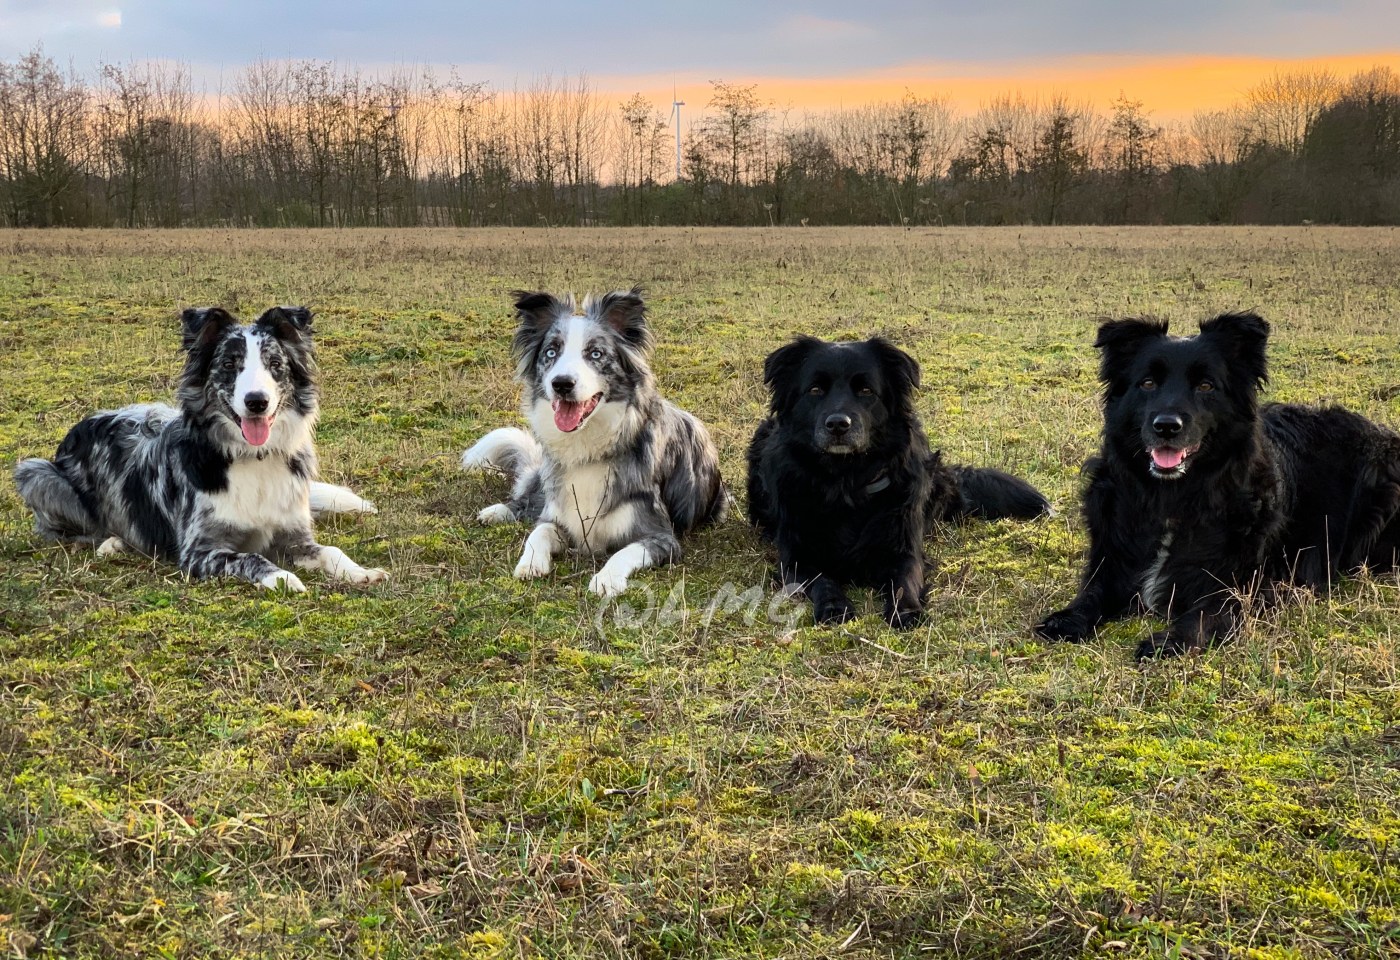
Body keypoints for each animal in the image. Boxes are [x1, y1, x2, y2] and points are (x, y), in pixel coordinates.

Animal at [14, 306, 386, 592]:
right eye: (229, 365)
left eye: (275, 365)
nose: (257, 402)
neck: (252, 456)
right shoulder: (199, 551)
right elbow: (251, 557)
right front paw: (282, 577)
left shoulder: (294, 534)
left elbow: (332, 550)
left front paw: (362, 572)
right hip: (36, 473)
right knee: (68, 534)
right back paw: (112, 542)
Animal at [462, 287, 727, 597]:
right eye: (551, 352)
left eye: (595, 354)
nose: (561, 383)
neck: (587, 444)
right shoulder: (559, 517)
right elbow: (538, 531)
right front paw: (530, 563)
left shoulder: (661, 537)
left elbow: (625, 551)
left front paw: (606, 579)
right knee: (527, 500)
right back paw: (498, 511)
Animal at [747, 335, 1051, 628]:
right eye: (815, 390)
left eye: (866, 391)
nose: (838, 425)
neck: (846, 482)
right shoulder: (797, 557)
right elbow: (823, 581)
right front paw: (834, 607)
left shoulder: (903, 549)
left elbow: (903, 582)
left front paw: (906, 612)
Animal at [1035, 311, 1400, 659]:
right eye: (1148, 383)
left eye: (1206, 386)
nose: (1166, 427)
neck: (1173, 497)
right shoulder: (1112, 559)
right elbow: (1091, 593)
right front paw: (1067, 619)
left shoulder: (1247, 585)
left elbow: (1205, 612)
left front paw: (1169, 640)